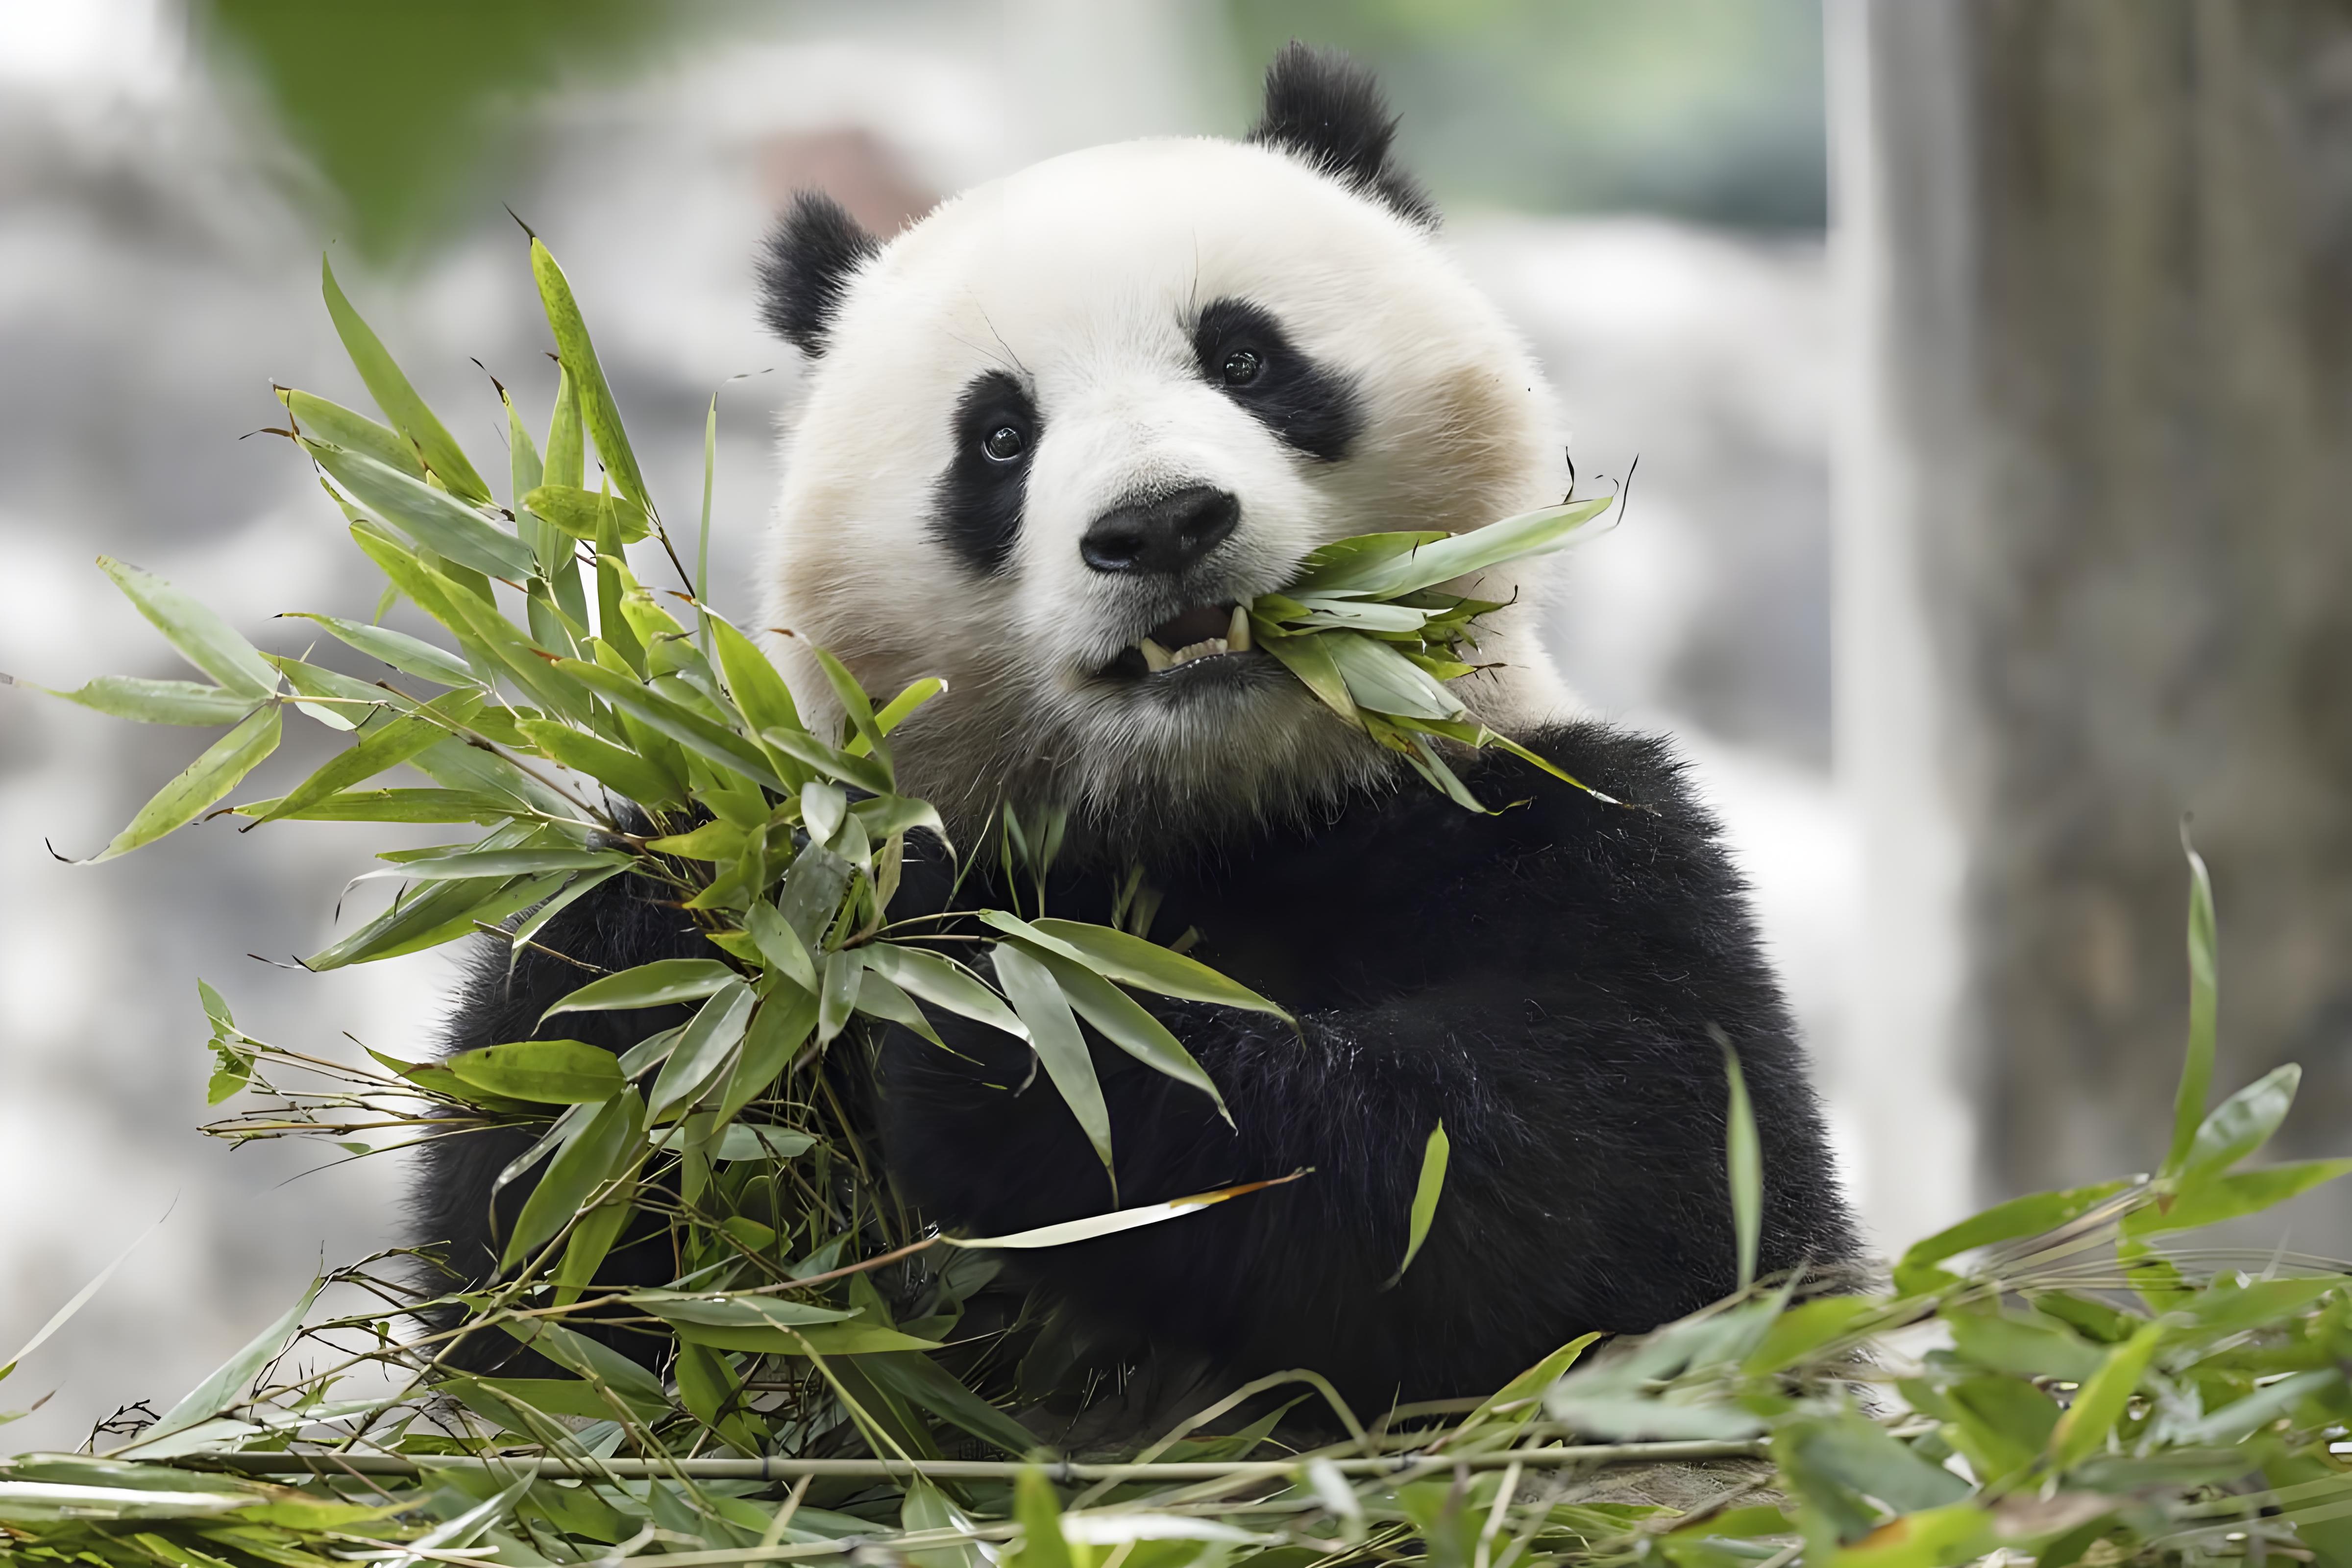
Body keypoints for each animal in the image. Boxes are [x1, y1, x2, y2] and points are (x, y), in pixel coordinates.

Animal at [418, 44, 1859, 1428]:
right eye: (999, 436)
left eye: (1246, 358)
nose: (1161, 523)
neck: (1211, 805)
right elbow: (551, 1287)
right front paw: (687, 938)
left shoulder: (1560, 830)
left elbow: (1602, 1191)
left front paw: (1009, 1038)